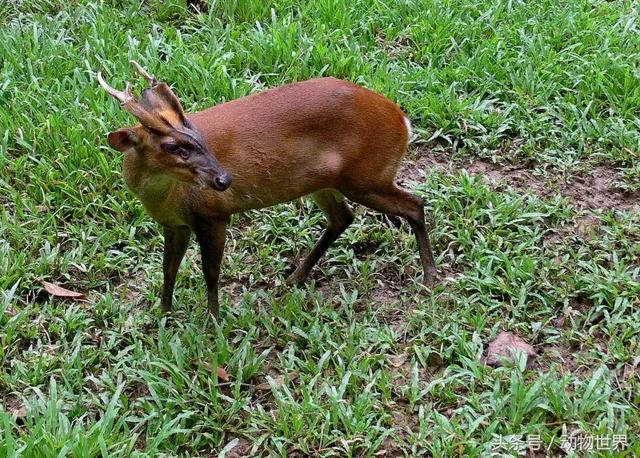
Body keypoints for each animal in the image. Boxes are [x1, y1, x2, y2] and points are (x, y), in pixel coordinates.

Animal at [99, 61, 440, 318]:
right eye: (173, 146)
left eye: (198, 137)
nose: (224, 180)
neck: (166, 198)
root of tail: (402, 120)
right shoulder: (175, 224)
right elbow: (168, 270)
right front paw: (163, 317)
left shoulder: (214, 214)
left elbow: (211, 272)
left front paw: (213, 322)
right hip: (326, 182)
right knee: (343, 217)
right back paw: (293, 279)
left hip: (366, 177)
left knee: (414, 204)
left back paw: (430, 278)